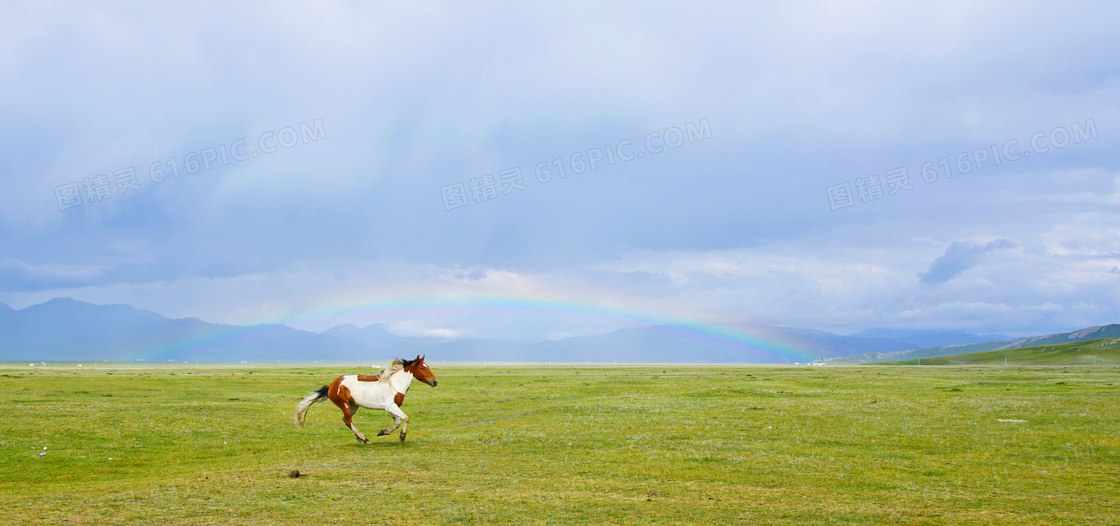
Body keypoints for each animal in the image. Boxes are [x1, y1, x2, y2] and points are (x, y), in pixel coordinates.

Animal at [293, 355, 436, 440]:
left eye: (428, 366)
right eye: (422, 368)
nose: (435, 382)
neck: (395, 384)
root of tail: (332, 385)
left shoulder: (392, 407)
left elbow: (397, 423)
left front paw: (383, 432)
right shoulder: (391, 406)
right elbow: (405, 418)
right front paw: (402, 436)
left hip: (353, 406)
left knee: (345, 420)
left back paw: (359, 437)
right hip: (344, 404)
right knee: (348, 421)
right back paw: (363, 438)